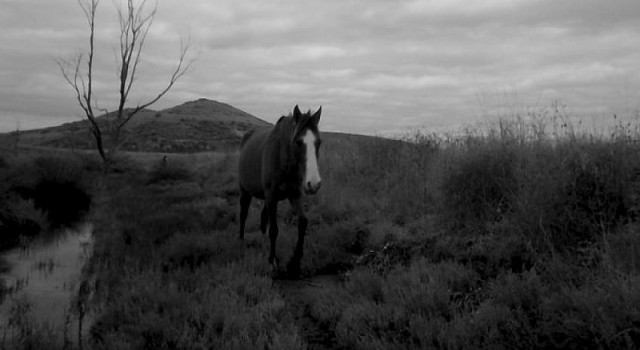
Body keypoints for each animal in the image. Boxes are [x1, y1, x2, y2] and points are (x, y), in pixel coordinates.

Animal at [238, 105, 322, 274]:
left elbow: (303, 222)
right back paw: (241, 240)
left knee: (263, 219)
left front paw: (295, 262)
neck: (283, 159)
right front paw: (273, 261)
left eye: (319, 143)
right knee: (243, 214)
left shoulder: (294, 194)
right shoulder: (272, 196)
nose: (314, 184)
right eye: (298, 142)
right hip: (246, 191)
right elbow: (274, 230)